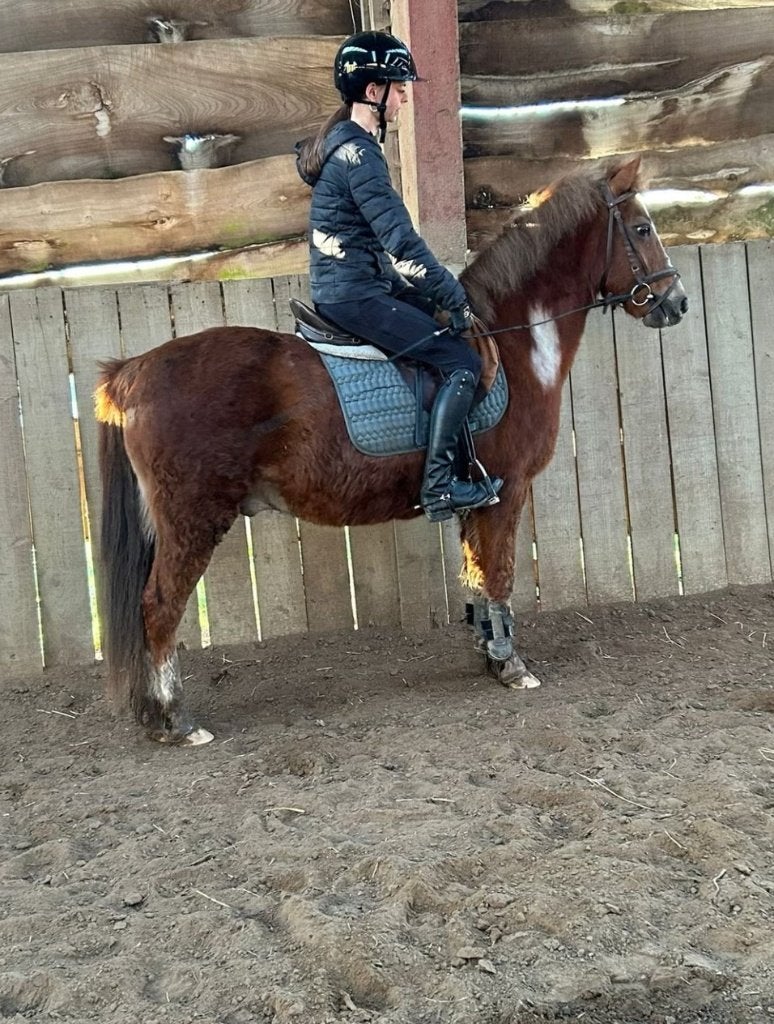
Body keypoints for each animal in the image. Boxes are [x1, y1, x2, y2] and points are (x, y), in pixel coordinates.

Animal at [95, 155, 687, 746]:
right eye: (641, 228)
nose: (677, 302)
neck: (516, 340)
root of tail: (132, 370)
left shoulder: (478, 495)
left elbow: (476, 577)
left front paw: (489, 653)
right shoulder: (510, 489)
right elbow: (499, 574)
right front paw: (512, 666)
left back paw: (154, 713)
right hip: (192, 519)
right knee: (159, 609)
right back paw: (177, 720)